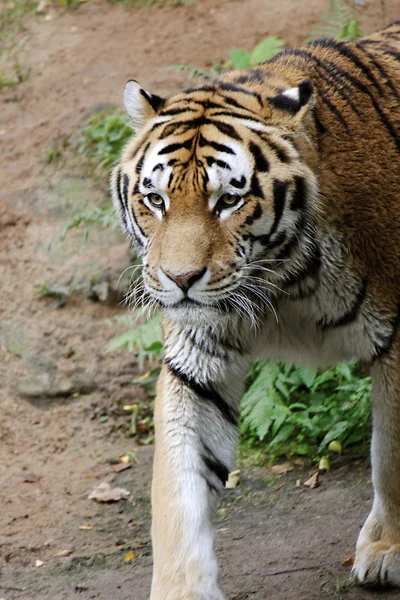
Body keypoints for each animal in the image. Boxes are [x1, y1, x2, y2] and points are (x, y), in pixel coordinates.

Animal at [110, 21, 400, 596]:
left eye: (228, 200)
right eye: (155, 200)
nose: (180, 281)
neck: (285, 285)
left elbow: (393, 456)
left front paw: (388, 548)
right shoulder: (198, 358)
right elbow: (176, 494)